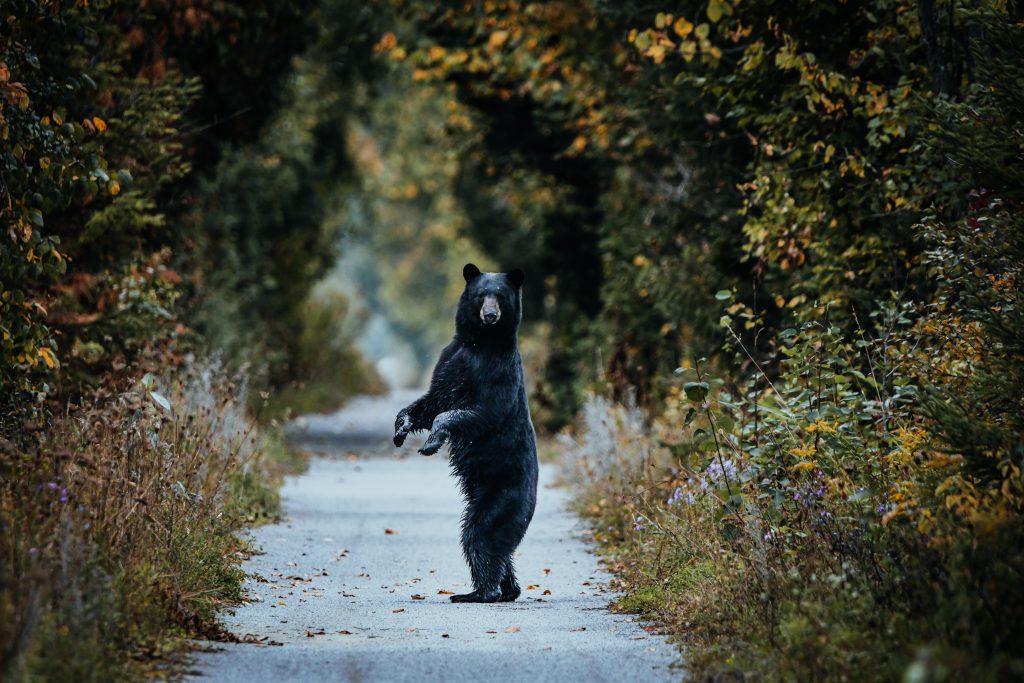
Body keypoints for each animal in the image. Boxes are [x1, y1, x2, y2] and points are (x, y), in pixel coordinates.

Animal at [393, 263, 538, 603]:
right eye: (480, 294)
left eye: (500, 295)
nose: (490, 314)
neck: (479, 342)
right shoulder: (449, 359)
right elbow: (430, 402)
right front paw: (401, 427)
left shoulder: (497, 372)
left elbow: (477, 411)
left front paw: (431, 442)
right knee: (499, 550)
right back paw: (507, 589)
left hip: (502, 497)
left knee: (481, 536)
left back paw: (479, 592)